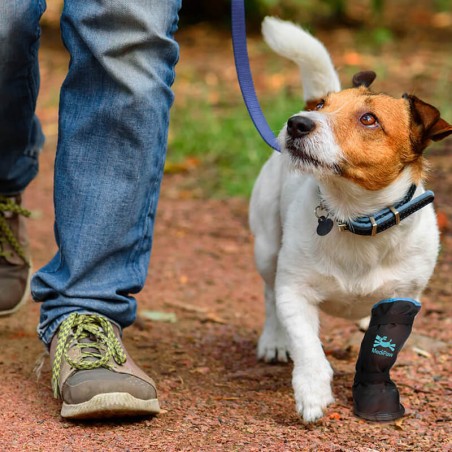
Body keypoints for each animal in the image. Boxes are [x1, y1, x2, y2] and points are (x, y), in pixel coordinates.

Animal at [249, 15, 450, 422]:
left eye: (369, 119)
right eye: (322, 105)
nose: (297, 122)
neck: (354, 216)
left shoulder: (405, 299)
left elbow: (379, 352)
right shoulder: (294, 291)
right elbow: (307, 345)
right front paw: (312, 391)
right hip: (266, 247)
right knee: (268, 295)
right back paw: (274, 340)